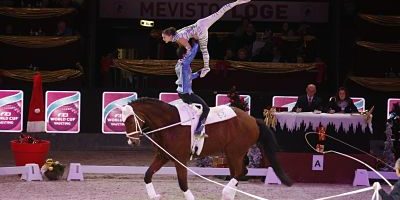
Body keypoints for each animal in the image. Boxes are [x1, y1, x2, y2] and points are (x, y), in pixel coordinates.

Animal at [123, 97, 292, 199]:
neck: (170, 123)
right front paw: (154, 196)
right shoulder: (163, 156)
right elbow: (147, 175)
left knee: (241, 172)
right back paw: (228, 195)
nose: (132, 142)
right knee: (237, 173)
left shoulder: (180, 159)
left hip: (235, 152)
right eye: (122, 121)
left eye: (130, 120)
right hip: (232, 154)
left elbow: (182, 183)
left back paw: (226, 192)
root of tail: (252, 119)